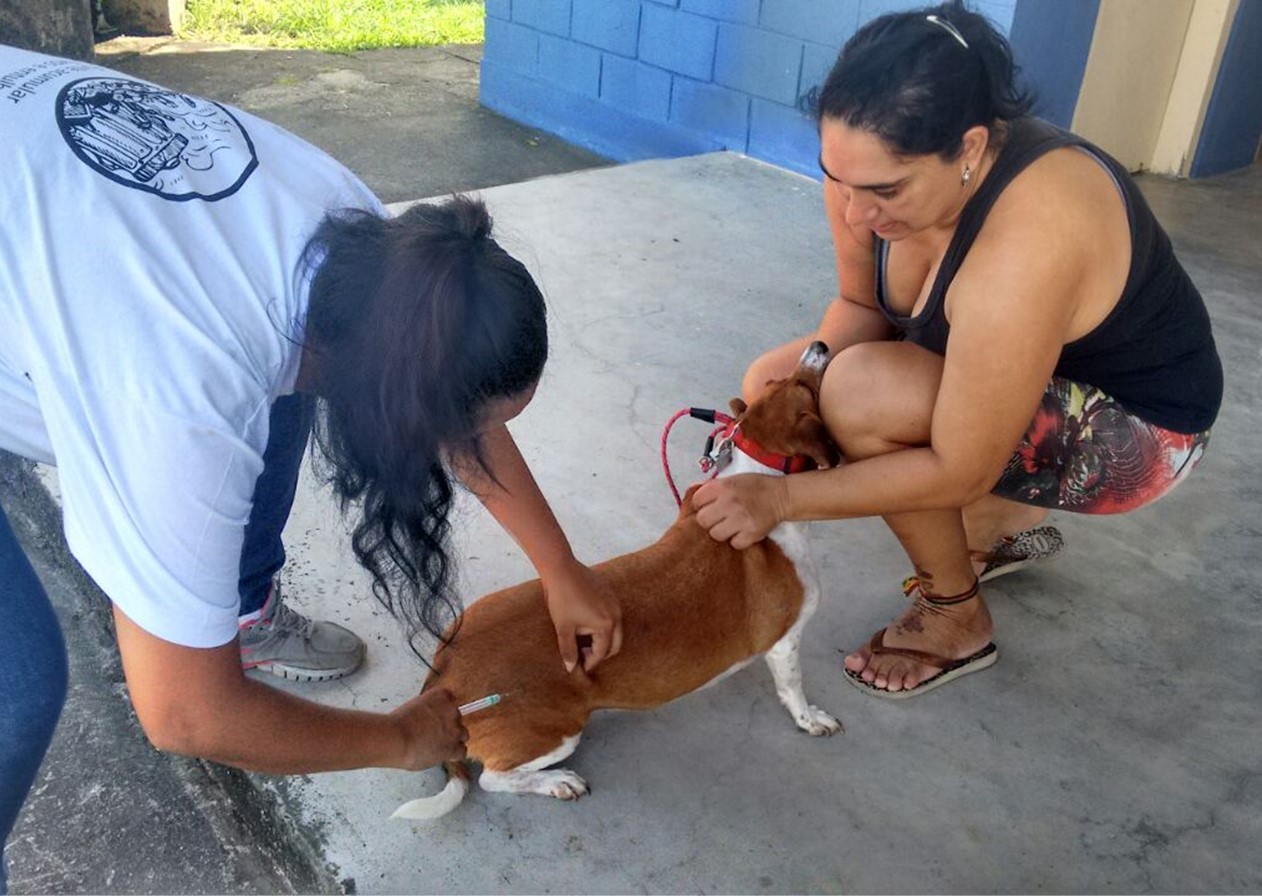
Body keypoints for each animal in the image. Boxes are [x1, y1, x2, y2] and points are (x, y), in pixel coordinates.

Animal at [391, 343, 848, 822]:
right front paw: (810, 717)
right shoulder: (786, 642)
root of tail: (444, 674)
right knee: (493, 779)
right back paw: (555, 781)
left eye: (776, 382)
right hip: (559, 732)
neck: (756, 469)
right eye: (804, 387)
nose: (819, 346)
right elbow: (793, 688)